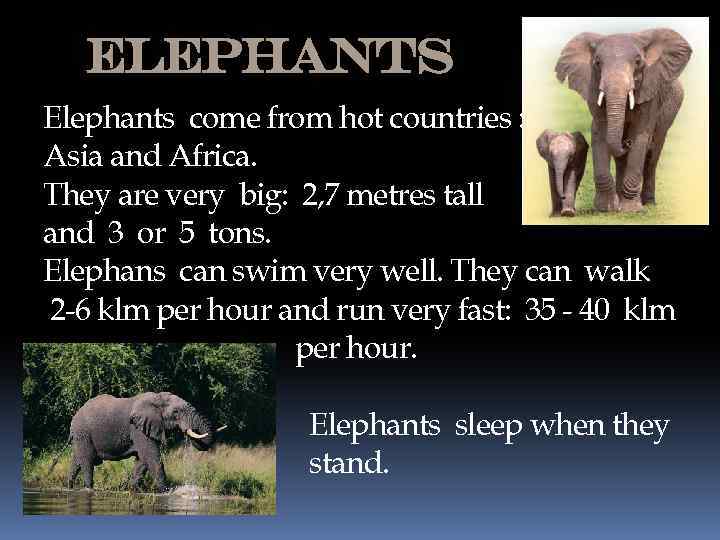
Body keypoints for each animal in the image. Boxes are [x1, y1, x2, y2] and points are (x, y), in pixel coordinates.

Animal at [66, 392, 226, 491]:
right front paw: (167, 492)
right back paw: (88, 488)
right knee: (87, 462)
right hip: (83, 433)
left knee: (77, 461)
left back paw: (69, 487)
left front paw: (133, 489)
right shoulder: (138, 429)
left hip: (80, 437)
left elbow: (142, 461)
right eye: (176, 413)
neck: (157, 398)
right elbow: (152, 458)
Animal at [556, 28, 692, 212]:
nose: (626, 143)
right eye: (597, 63)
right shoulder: (592, 86)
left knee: (653, 154)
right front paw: (605, 209)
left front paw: (632, 210)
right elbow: (600, 133)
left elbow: (640, 136)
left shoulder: (649, 91)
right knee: (621, 160)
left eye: (638, 62)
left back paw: (648, 203)